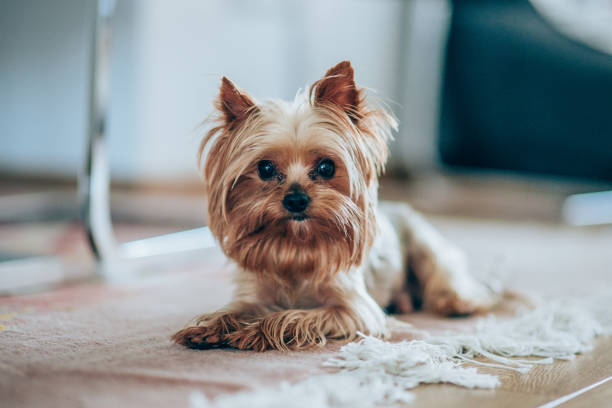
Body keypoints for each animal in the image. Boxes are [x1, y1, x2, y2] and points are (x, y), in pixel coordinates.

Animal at [173, 59, 498, 350]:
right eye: (265, 168)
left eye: (327, 167)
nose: (296, 200)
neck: (296, 247)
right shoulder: (253, 294)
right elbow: (234, 310)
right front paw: (209, 327)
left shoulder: (354, 312)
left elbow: (291, 317)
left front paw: (255, 331)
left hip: (426, 246)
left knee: (448, 276)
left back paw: (456, 302)